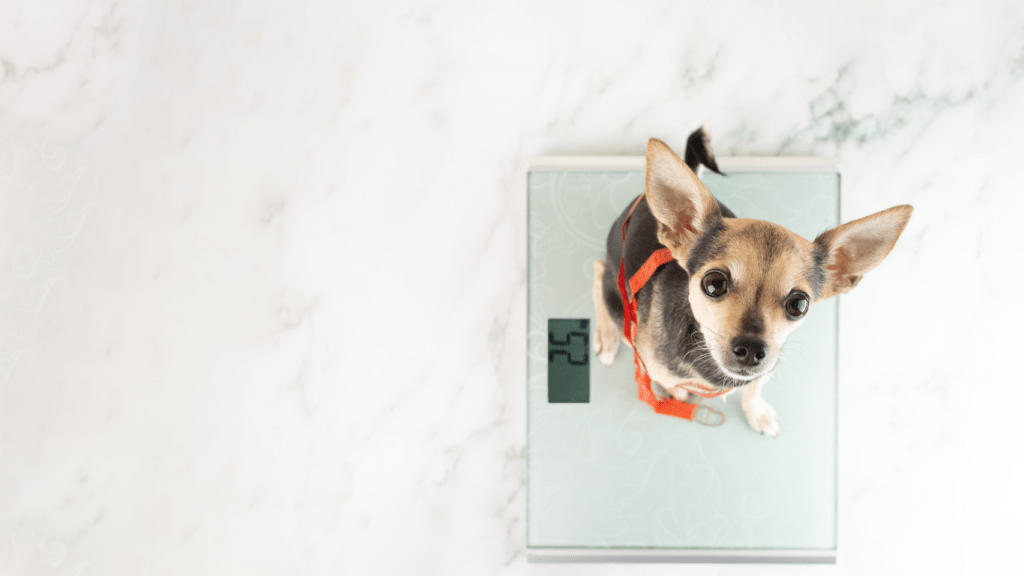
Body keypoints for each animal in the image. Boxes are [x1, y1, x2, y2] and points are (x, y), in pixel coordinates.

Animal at [593, 129, 913, 434]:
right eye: (714, 284)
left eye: (799, 304)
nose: (751, 350)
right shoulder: (653, 364)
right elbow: (670, 383)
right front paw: (677, 393)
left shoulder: (765, 371)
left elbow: (753, 389)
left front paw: (757, 414)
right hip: (617, 297)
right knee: (598, 272)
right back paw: (607, 339)